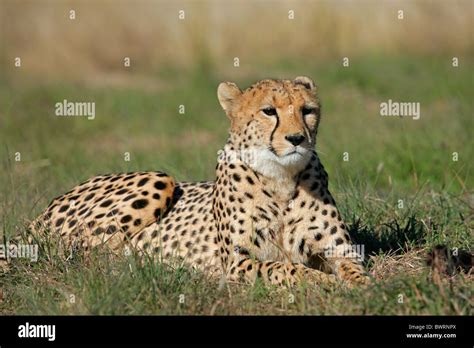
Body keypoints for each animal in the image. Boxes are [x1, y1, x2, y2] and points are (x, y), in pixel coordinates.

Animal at [23, 77, 370, 286]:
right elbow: (284, 267)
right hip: (158, 179)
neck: (280, 178)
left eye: (307, 110)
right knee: (82, 258)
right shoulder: (236, 263)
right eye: (269, 111)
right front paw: (323, 282)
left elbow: (355, 270)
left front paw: (360, 286)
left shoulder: (341, 249)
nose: (297, 138)